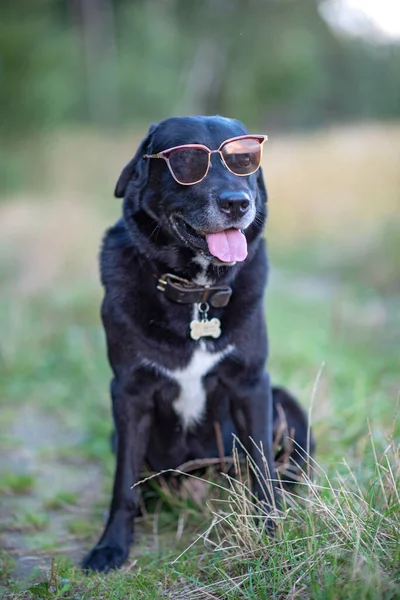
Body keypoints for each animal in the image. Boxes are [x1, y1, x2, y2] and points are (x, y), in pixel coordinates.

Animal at [83, 116, 314, 572]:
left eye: (245, 159)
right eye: (188, 162)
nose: (237, 203)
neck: (197, 293)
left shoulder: (252, 385)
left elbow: (262, 468)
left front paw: (270, 531)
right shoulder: (128, 392)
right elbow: (123, 483)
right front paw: (111, 546)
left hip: (287, 404)